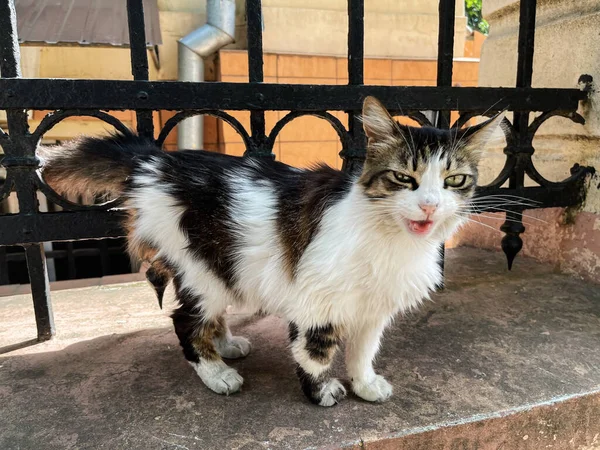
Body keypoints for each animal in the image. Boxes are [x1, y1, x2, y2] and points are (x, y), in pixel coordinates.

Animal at [37, 96, 504, 406]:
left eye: (455, 181)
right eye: (404, 178)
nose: (429, 205)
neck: (392, 240)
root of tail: (155, 160)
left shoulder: (373, 308)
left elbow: (362, 351)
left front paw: (364, 384)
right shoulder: (317, 300)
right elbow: (315, 352)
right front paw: (322, 393)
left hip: (222, 266)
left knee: (208, 315)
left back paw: (226, 345)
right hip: (199, 267)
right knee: (185, 322)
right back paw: (217, 373)